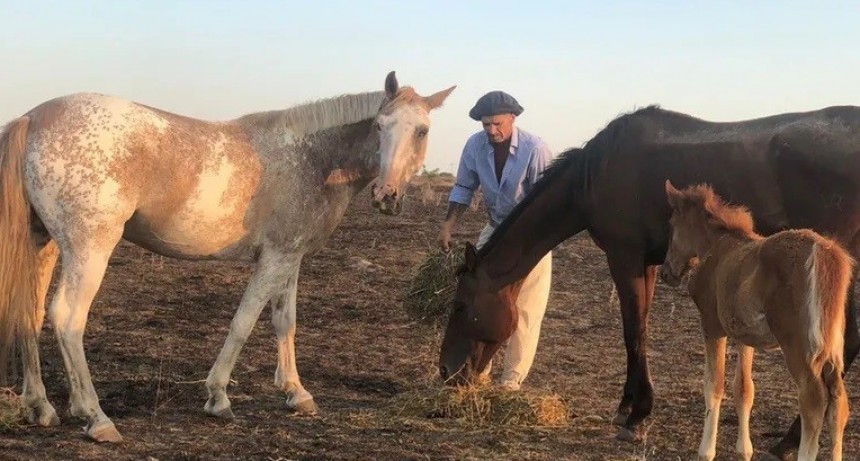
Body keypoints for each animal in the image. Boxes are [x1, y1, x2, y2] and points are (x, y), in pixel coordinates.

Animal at [0, 70, 456, 440]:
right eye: (380, 125)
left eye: (421, 130)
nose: (387, 196)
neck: (311, 156)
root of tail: (34, 117)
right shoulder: (273, 260)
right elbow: (243, 323)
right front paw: (218, 396)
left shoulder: (289, 258)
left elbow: (285, 322)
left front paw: (296, 392)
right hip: (89, 250)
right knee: (66, 319)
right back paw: (96, 417)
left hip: (44, 245)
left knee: (31, 313)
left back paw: (40, 407)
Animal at [660, 181, 848, 460]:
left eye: (672, 224)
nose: (665, 272)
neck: (717, 247)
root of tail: (823, 253)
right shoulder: (745, 336)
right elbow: (744, 389)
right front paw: (744, 450)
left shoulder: (712, 325)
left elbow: (713, 385)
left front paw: (706, 451)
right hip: (832, 347)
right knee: (838, 401)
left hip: (799, 349)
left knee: (813, 402)